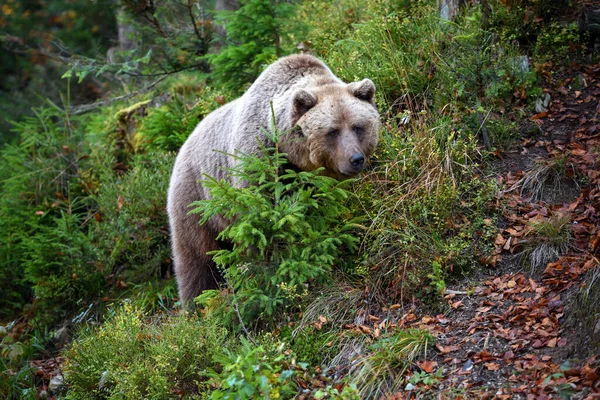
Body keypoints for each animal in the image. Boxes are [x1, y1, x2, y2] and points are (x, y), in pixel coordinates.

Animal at [166, 53, 378, 304]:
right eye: (332, 131)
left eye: (358, 127)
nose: (356, 159)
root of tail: (185, 142)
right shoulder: (257, 161)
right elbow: (261, 222)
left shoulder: (317, 188)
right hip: (196, 199)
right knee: (196, 257)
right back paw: (197, 300)